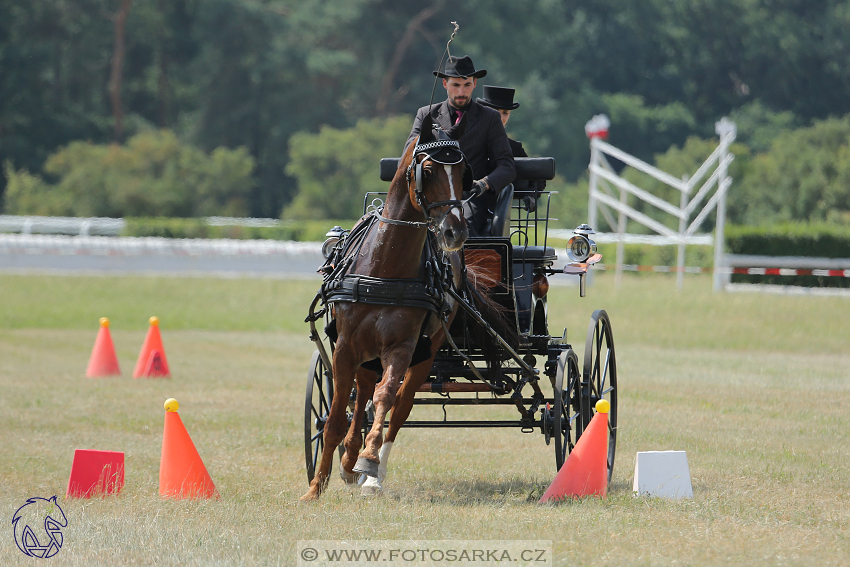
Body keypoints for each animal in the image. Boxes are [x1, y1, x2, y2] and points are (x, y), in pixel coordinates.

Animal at [298, 112, 470, 502]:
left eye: (463, 172)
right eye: (429, 170)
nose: (455, 232)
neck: (384, 267)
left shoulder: (402, 347)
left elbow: (386, 398)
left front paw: (369, 458)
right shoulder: (345, 347)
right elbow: (334, 418)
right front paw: (316, 486)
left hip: (426, 353)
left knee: (400, 405)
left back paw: (369, 468)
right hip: (364, 353)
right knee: (359, 395)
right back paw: (347, 460)